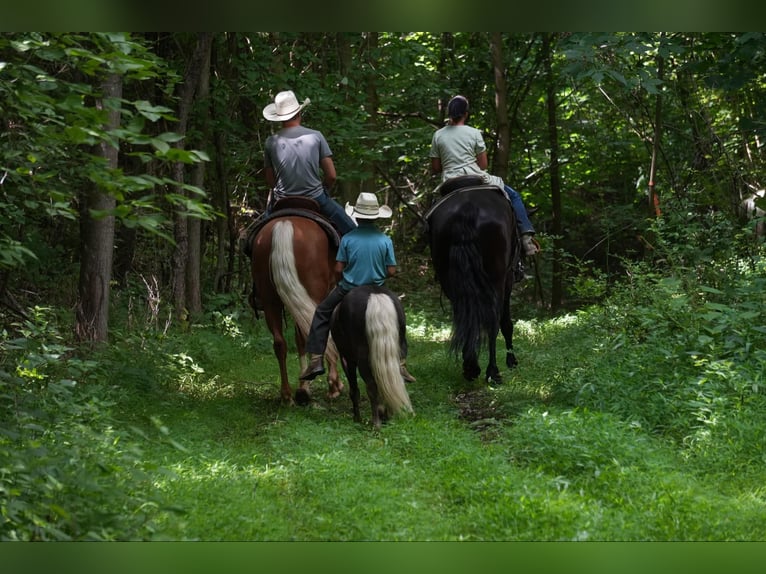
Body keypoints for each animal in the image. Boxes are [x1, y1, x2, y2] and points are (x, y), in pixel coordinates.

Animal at [330, 286, 414, 430]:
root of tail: (375, 295)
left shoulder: (346, 359)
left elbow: (354, 389)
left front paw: (357, 419)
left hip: (362, 358)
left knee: (371, 386)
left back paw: (376, 424)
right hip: (398, 348)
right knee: (392, 379)